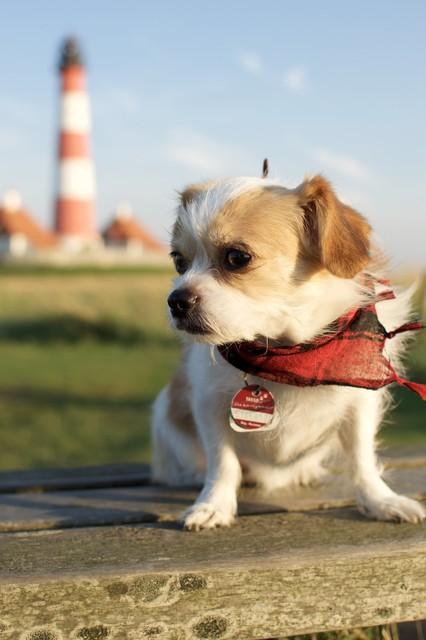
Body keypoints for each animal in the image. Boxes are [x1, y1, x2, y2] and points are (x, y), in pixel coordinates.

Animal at [151, 174, 424, 528]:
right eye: (178, 261)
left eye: (237, 258)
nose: (176, 301)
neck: (286, 351)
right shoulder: (208, 404)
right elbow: (223, 462)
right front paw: (214, 505)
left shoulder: (360, 404)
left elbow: (361, 458)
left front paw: (380, 500)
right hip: (164, 414)